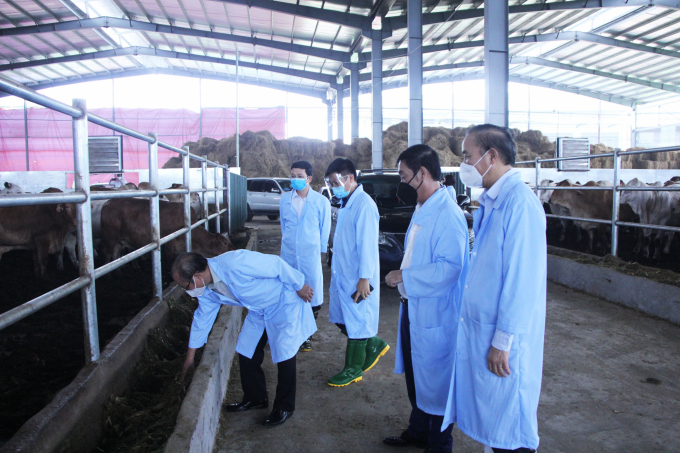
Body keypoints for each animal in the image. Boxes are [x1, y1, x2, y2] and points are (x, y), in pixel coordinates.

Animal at [98, 197, 231, 262]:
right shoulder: (169, 247)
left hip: (119, 242)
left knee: (115, 257)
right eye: (225, 243)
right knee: (106, 255)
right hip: (109, 239)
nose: (233, 249)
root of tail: (108, 203)